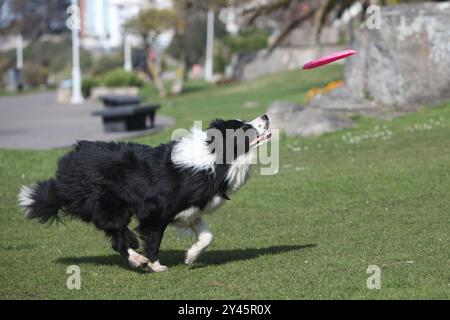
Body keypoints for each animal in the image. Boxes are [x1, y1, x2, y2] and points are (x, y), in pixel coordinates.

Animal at [18, 116, 270, 272]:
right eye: (245, 128)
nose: (266, 116)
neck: (213, 159)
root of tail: (65, 167)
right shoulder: (155, 213)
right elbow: (153, 239)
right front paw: (156, 265)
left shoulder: (190, 210)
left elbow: (207, 235)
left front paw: (190, 256)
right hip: (109, 205)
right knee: (119, 238)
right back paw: (139, 260)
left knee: (117, 237)